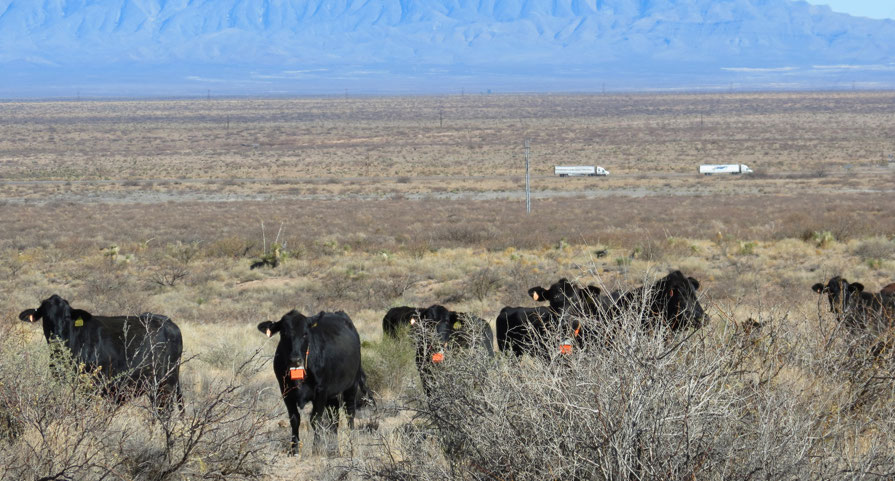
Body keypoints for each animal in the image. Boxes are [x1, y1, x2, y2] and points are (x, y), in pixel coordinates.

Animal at [18, 294, 183, 409]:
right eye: (45, 317)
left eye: (66, 316)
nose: (56, 338)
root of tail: (169, 323)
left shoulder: (91, 386)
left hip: (165, 384)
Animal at [258, 310, 370, 455]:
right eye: (283, 333)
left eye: (305, 333)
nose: (295, 359)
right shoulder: (285, 392)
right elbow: (294, 419)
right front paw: (294, 449)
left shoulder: (321, 391)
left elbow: (315, 419)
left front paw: (315, 449)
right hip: (332, 395)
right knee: (335, 419)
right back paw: (335, 448)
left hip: (352, 384)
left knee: (349, 413)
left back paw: (351, 445)